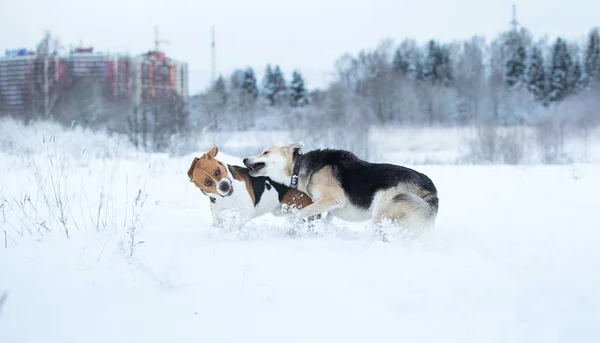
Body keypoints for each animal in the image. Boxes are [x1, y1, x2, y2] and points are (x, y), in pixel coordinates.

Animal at [188, 146, 316, 230]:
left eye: (218, 171)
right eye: (207, 183)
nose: (224, 186)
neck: (227, 198)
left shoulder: (246, 211)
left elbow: (235, 225)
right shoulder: (217, 213)